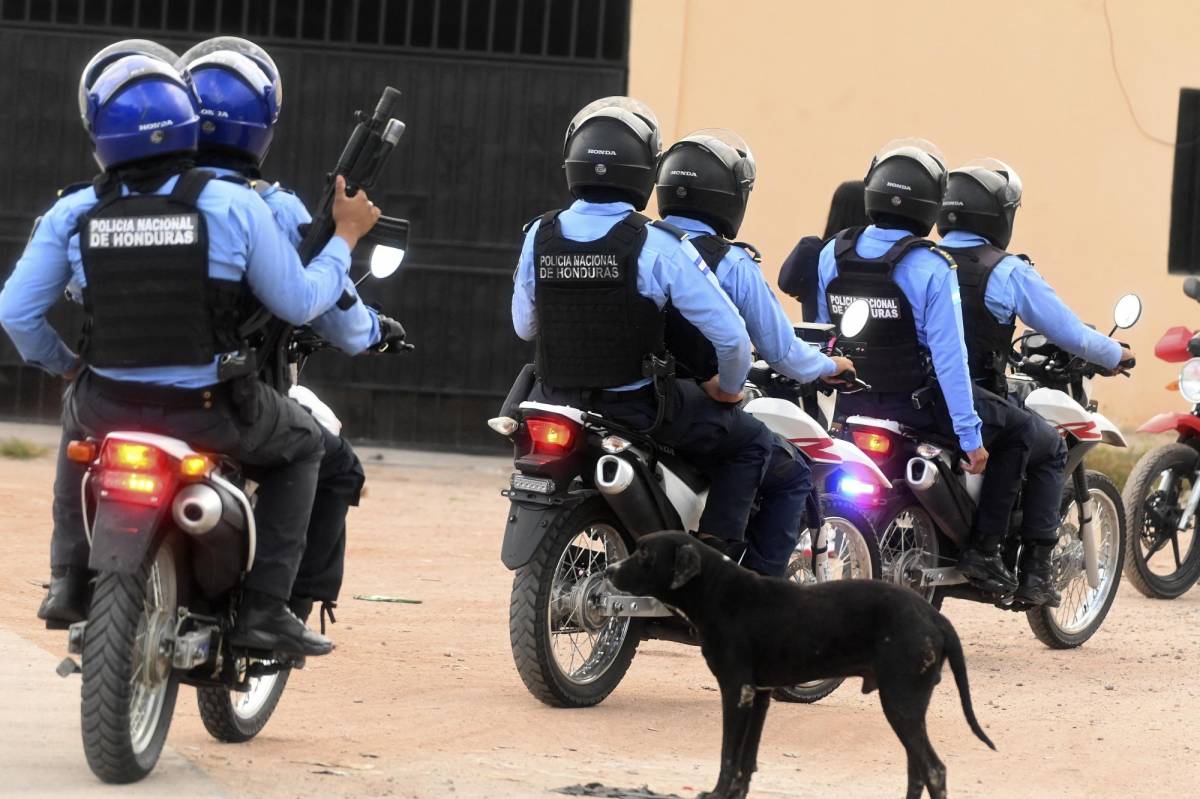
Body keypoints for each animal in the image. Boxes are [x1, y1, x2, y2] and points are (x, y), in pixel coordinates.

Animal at [609, 527, 993, 796]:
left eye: (644, 552)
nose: (608, 570)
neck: (717, 589)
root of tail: (933, 616)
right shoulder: (759, 695)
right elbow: (745, 762)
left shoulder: (736, 691)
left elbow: (728, 755)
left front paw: (717, 793)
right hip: (909, 705)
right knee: (918, 772)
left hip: (900, 702)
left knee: (934, 771)